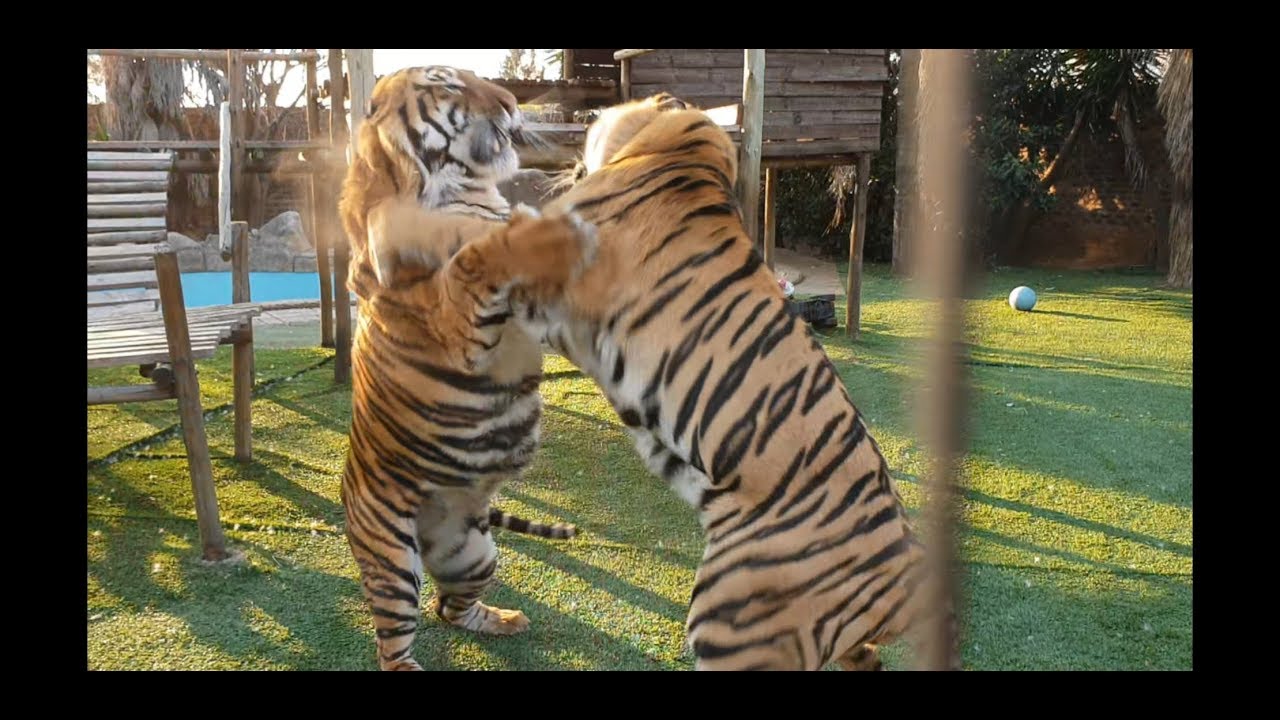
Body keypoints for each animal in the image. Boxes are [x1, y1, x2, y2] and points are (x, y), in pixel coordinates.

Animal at [337, 65, 594, 671]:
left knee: (450, 609)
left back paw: (506, 619)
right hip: (392, 561)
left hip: (473, 555)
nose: (510, 102)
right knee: (394, 644)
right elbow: (474, 254)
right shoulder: (459, 325)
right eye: (448, 86)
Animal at [375, 92, 957, 670]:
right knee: (867, 656)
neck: (671, 147)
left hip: (730, 625)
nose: (576, 118)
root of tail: (905, 577)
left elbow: (475, 252)